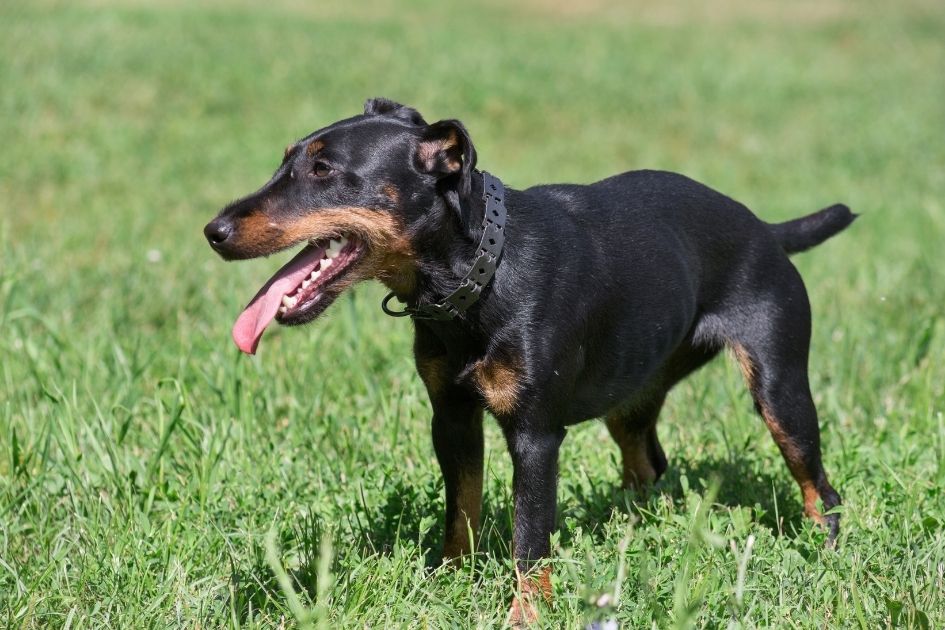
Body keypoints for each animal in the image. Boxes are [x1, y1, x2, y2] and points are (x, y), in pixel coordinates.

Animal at [206, 96, 856, 624]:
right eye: (285, 161)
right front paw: (448, 583)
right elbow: (461, 509)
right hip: (633, 393)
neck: (482, 272)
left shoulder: (536, 434)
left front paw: (524, 614)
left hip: (779, 386)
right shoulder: (452, 416)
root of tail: (767, 230)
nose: (214, 230)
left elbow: (529, 537)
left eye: (323, 171)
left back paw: (824, 555)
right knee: (648, 462)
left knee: (820, 488)